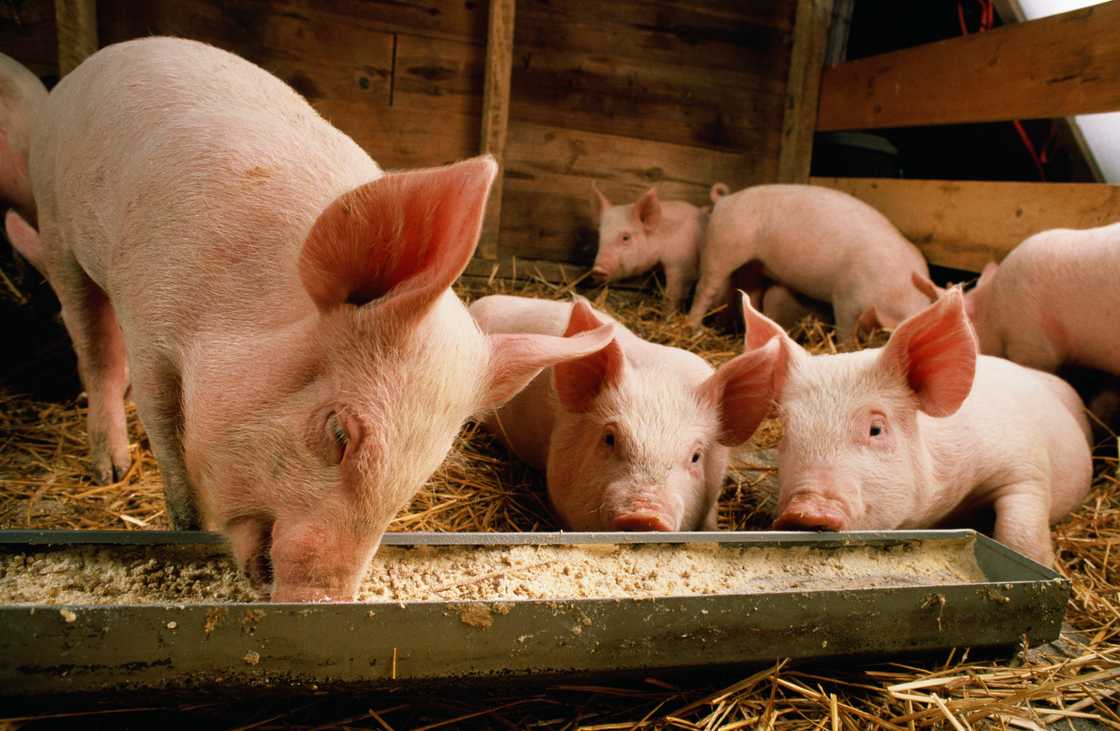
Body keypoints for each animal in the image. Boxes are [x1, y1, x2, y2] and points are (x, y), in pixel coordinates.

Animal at [2, 36, 613, 600]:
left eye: (422, 471)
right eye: (340, 432)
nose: (321, 600)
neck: (230, 313)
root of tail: (109, 53)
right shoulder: (150, 315)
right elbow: (166, 433)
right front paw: (182, 524)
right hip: (55, 221)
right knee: (94, 345)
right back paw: (110, 469)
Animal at [685, 185, 931, 340]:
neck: (898, 290)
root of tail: (724, 199)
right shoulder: (845, 297)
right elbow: (845, 333)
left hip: (753, 264)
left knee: (751, 293)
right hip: (721, 247)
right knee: (706, 288)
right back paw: (693, 326)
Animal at [739, 288, 1088, 566]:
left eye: (876, 429)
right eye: (787, 432)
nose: (804, 511)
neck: (943, 512)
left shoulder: (1027, 464)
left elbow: (1018, 534)